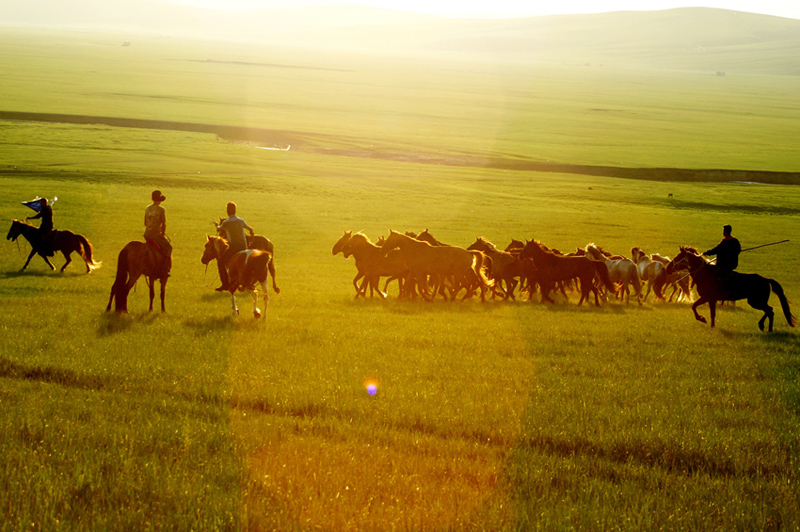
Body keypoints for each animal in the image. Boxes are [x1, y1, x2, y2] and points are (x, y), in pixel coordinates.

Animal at [664, 247, 796, 330]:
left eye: (678, 258)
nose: (667, 268)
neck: (705, 274)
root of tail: (765, 279)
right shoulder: (710, 299)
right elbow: (708, 311)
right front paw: (711, 324)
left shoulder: (708, 298)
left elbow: (696, 307)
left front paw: (702, 319)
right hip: (756, 301)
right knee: (769, 311)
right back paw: (765, 327)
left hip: (755, 301)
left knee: (770, 310)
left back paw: (766, 327)